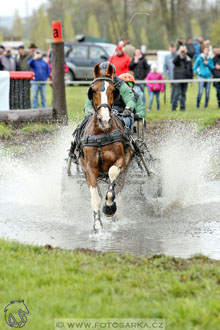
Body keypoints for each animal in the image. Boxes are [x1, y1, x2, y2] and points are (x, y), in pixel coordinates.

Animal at [79, 63, 131, 232]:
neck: (101, 134)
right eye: (93, 90)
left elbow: (112, 177)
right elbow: (95, 197)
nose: (105, 119)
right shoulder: (89, 168)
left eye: (113, 90)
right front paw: (97, 226)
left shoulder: (121, 161)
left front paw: (109, 208)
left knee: (116, 189)